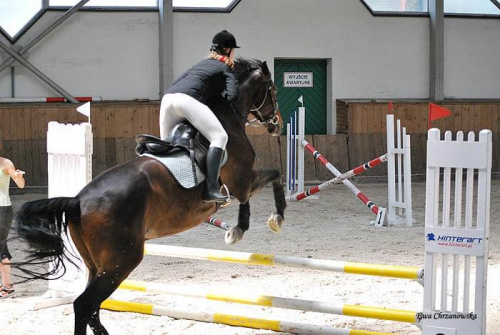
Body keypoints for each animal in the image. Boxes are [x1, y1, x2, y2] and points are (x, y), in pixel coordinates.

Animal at [14, 59, 286, 334]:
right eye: (273, 89)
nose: (278, 124)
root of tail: (78, 201)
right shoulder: (244, 182)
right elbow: (275, 176)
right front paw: (271, 220)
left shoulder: (244, 184)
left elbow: (263, 186)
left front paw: (240, 229)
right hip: (121, 261)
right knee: (84, 304)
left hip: (96, 265)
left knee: (92, 307)